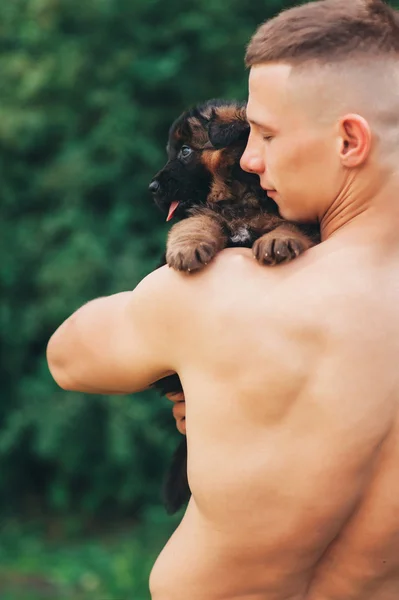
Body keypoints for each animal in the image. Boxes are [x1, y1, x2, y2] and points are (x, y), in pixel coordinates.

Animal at [148, 99, 320, 516]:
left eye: (185, 150)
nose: (152, 188)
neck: (239, 195)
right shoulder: (201, 214)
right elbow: (193, 223)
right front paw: (187, 248)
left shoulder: (293, 217)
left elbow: (288, 226)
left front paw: (277, 241)